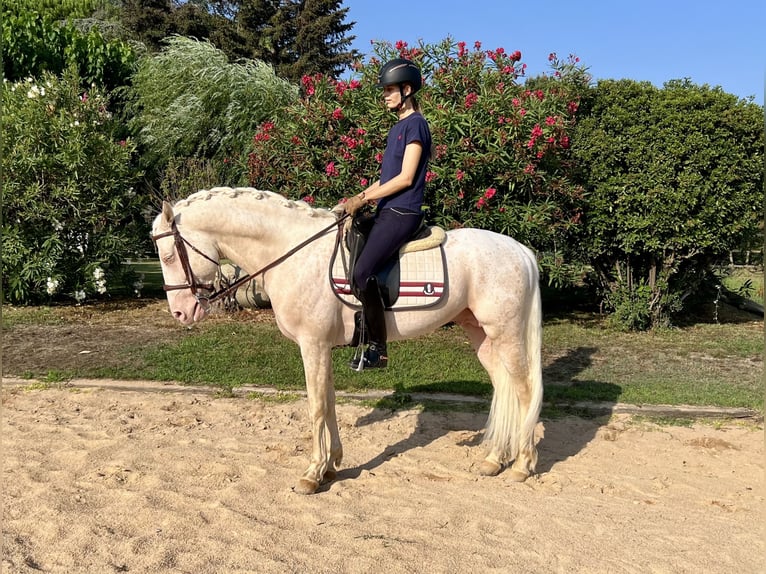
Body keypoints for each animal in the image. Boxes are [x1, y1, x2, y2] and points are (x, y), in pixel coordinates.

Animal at [151, 187, 543, 495]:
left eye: (169, 255)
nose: (181, 313)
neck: (295, 252)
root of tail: (520, 250)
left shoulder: (312, 344)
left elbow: (316, 406)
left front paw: (312, 474)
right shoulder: (321, 346)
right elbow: (329, 402)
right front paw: (331, 465)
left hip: (505, 332)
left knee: (524, 390)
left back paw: (522, 465)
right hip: (481, 333)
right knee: (505, 386)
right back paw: (494, 460)